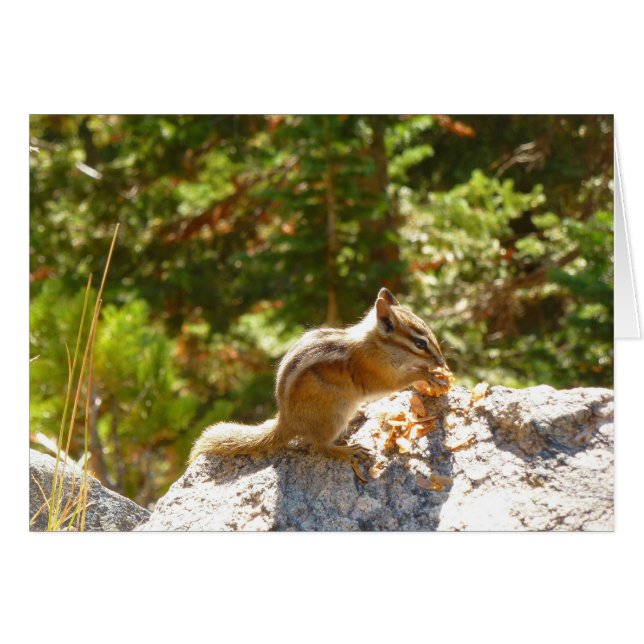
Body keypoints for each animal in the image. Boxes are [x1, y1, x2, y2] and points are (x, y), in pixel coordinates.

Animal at [189, 287, 450, 464]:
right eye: (420, 343)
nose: (441, 361)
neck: (377, 345)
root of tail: (287, 420)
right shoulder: (378, 375)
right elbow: (399, 381)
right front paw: (427, 375)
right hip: (334, 414)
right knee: (321, 446)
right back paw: (348, 451)